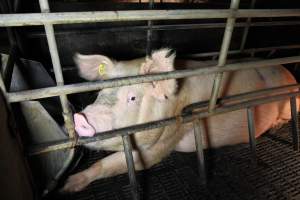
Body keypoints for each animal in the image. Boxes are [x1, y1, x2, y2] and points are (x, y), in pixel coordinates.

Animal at [62, 48, 298, 192]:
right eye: (100, 92)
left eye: (132, 98)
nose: (81, 117)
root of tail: (288, 73)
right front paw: (67, 185)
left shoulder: (169, 135)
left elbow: (130, 162)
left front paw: (66, 186)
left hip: (290, 103)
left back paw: (276, 126)